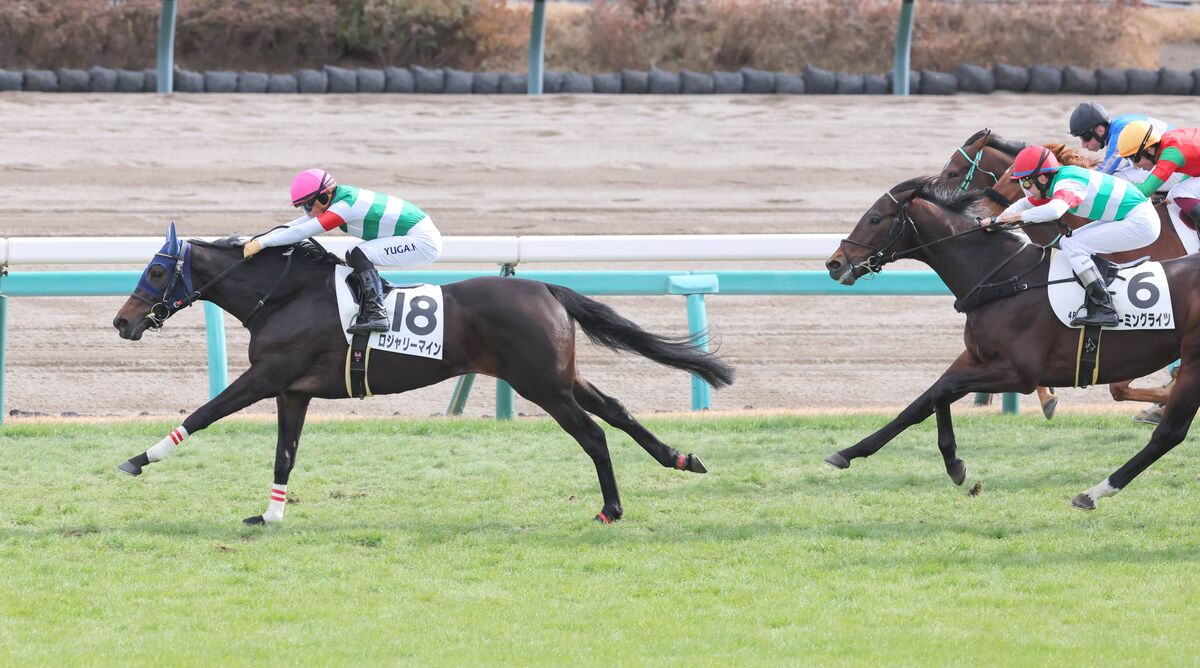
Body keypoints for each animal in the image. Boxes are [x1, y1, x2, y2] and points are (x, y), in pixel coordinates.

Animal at [110, 225, 729, 525]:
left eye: (158, 271)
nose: (122, 321)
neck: (283, 296)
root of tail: (546, 287)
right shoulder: (292, 392)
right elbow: (285, 454)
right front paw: (270, 514)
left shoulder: (265, 377)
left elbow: (203, 413)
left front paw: (137, 459)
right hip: (560, 377)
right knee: (619, 412)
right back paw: (681, 458)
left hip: (542, 385)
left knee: (595, 434)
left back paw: (611, 509)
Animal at [825, 177, 1200, 510]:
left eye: (875, 218)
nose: (834, 263)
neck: (1007, 280)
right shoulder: (975, 358)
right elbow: (921, 403)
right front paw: (848, 452)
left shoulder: (1020, 374)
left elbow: (941, 392)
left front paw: (954, 464)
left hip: (1193, 361)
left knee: (1170, 433)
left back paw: (1093, 492)